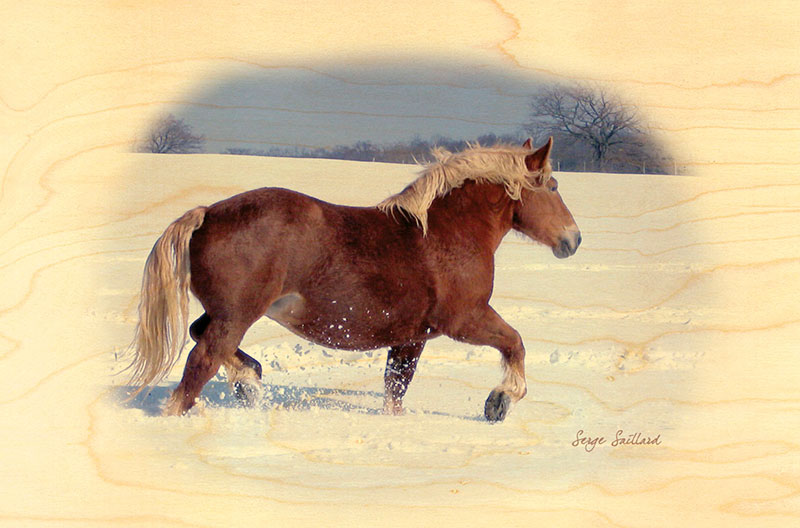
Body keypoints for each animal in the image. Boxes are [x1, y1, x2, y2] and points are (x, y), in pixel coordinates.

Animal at [128, 137, 581, 421]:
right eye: (553, 185)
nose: (573, 239)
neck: (446, 233)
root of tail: (206, 214)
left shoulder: (410, 337)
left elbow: (395, 390)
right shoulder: (465, 320)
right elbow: (515, 343)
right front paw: (499, 402)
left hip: (227, 314)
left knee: (200, 335)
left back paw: (249, 381)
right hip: (236, 316)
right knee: (199, 364)